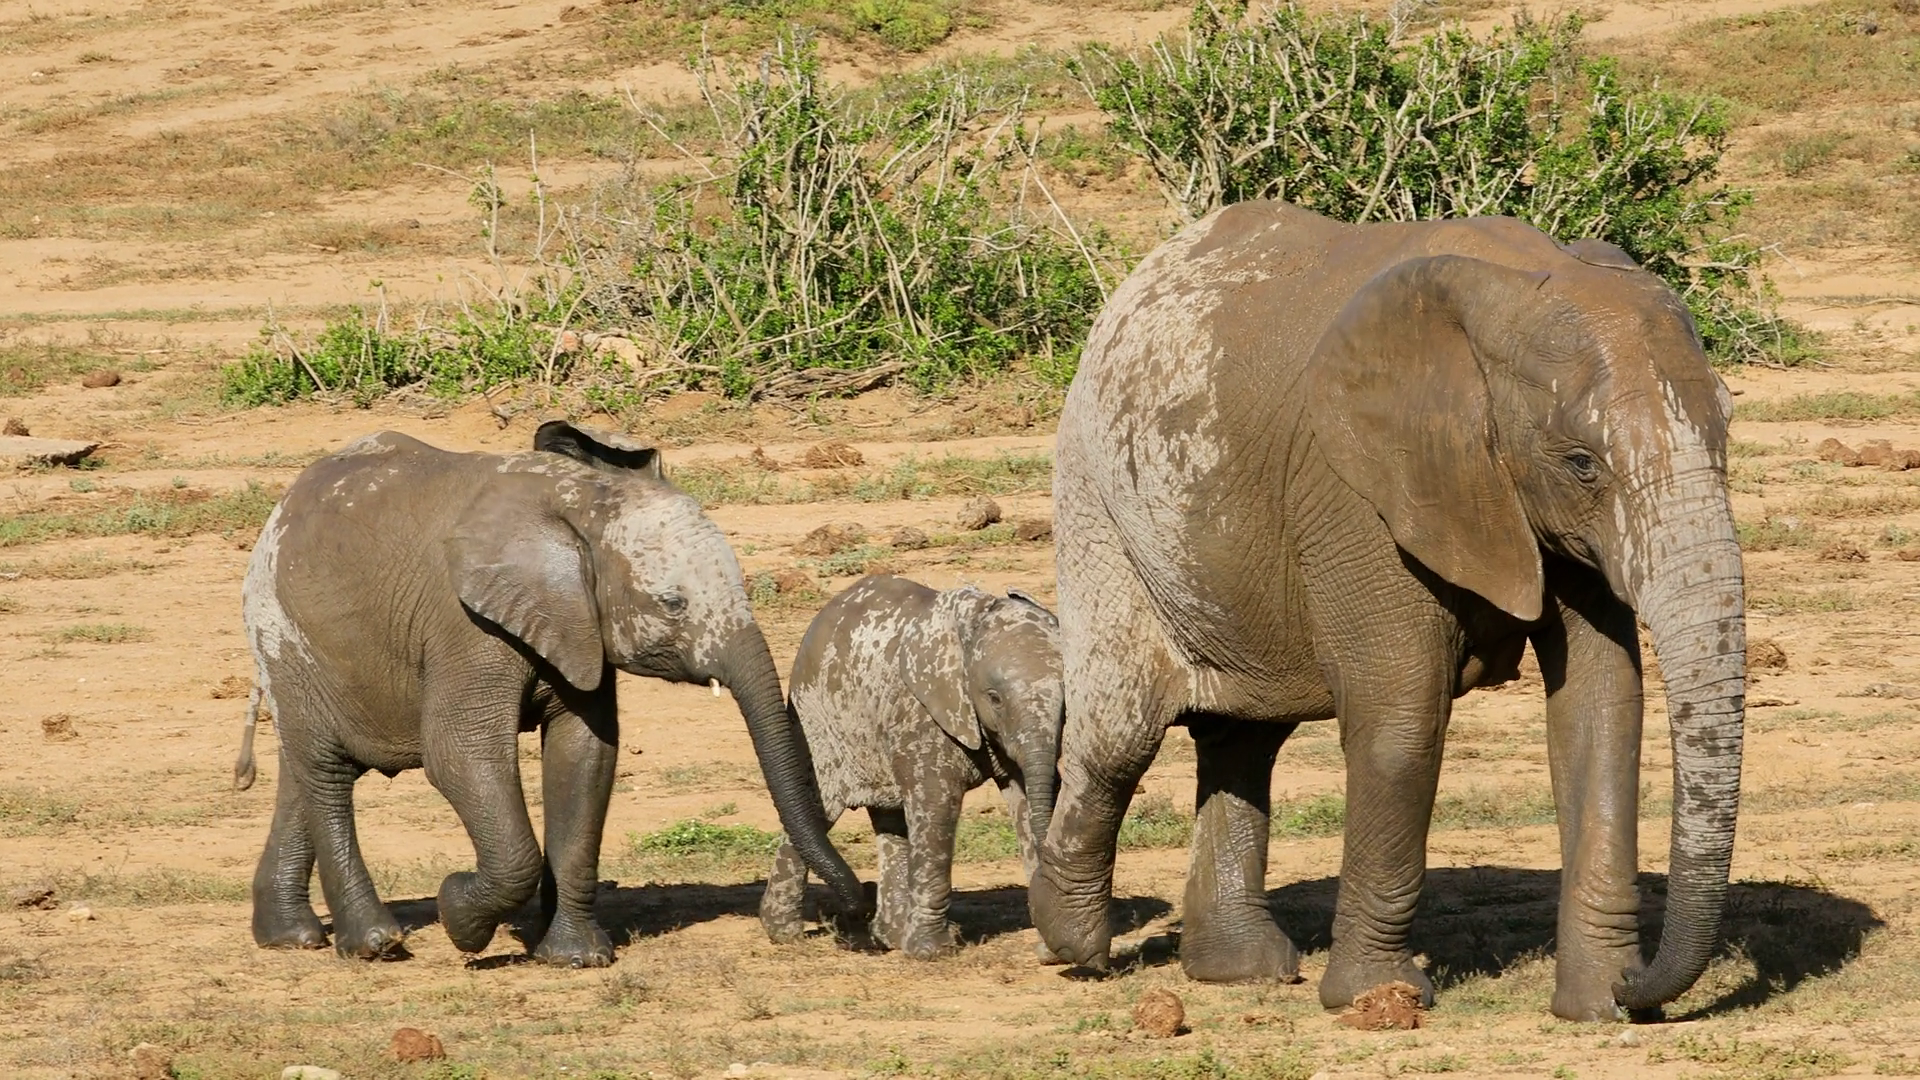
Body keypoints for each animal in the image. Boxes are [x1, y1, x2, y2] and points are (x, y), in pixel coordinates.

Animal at [230, 420, 865, 966]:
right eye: (673, 604)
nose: (857, 910)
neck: (582, 501)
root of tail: (281, 507)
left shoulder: (577, 625)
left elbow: (584, 754)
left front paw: (574, 959)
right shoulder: (466, 627)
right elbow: (461, 756)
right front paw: (459, 915)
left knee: (305, 769)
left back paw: (290, 937)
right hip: (283, 630)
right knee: (326, 770)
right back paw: (374, 944)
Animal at [757, 575, 1065, 959]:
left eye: (1067, 699)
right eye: (994, 698)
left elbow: (1028, 796)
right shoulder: (922, 713)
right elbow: (936, 803)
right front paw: (932, 952)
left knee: (890, 819)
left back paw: (889, 937)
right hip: (818, 719)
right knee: (818, 807)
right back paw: (784, 933)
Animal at [1029, 200, 1746, 1023]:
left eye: (1725, 435)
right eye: (1581, 464)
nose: (1639, 987)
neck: (1514, 287)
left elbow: (1601, 705)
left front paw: (1598, 1005)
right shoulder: (1356, 484)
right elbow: (1401, 709)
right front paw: (1378, 998)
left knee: (1245, 736)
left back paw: (1240, 970)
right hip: (1096, 500)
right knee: (1123, 733)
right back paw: (1071, 943)